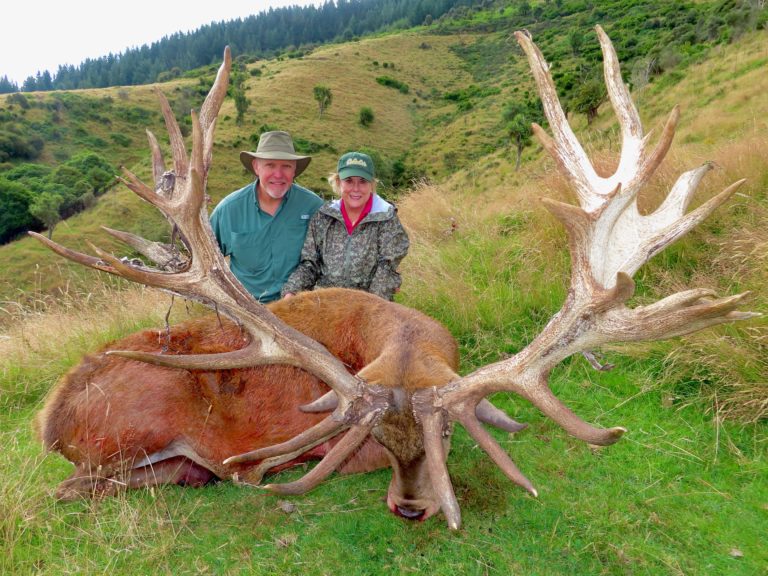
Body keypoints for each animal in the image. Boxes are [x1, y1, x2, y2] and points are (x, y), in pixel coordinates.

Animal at [31, 27, 759, 530]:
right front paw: (263, 469)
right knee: (75, 487)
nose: (411, 509)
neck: (404, 341)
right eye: (375, 436)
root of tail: (48, 419)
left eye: (447, 437)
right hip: (133, 429)